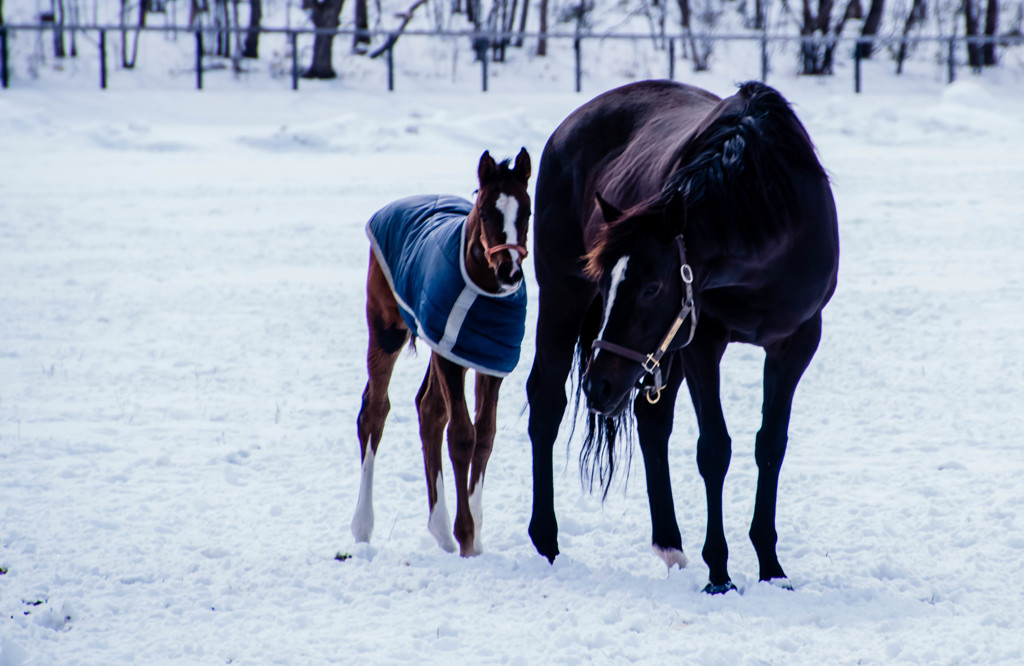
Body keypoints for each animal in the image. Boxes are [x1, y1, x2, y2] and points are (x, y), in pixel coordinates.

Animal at [352, 149, 532, 553]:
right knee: (375, 411)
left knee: (429, 409)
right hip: (387, 331)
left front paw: (473, 538)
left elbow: (485, 435)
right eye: (486, 212)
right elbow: (463, 436)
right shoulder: (450, 355)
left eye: (527, 211)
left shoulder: (487, 360)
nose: (510, 271)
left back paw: (440, 531)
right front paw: (466, 536)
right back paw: (363, 527)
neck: (483, 292)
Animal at [528, 78, 839, 590]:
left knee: (651, 419)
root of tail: (568, 125)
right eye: (603, 281)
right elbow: (714, 449)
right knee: (546, 402)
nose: (598, 386)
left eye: (652, 286)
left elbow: (770, 446)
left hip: (659, 352)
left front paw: (771, 568)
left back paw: (669, 544)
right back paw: (546, 540)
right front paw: (720, 573)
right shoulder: (702, 340)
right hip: (563, 298)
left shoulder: (795, 343)